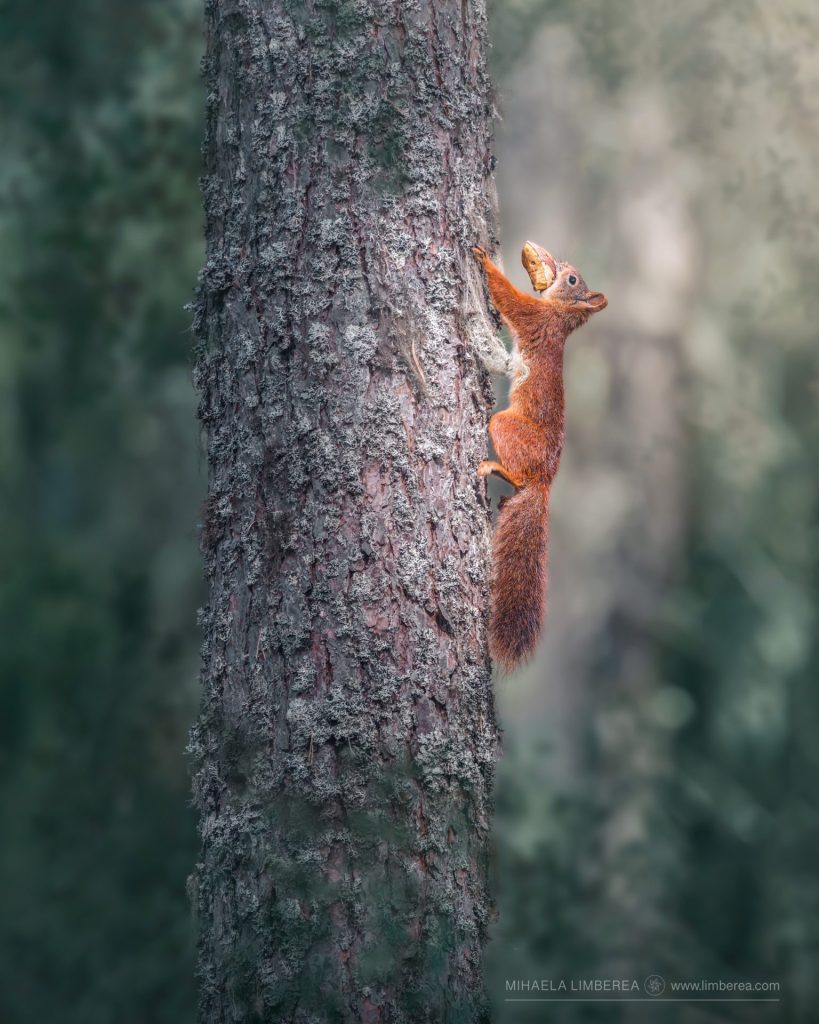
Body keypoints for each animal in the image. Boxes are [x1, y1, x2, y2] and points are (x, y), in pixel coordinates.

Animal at [472, 241, 608, 670]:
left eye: (572, 279)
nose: (559, 261)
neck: (561, 318)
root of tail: (544, 482)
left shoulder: (534, 317)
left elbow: (511, 300)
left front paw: (484, 261)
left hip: (505, 427)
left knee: (514, 465)